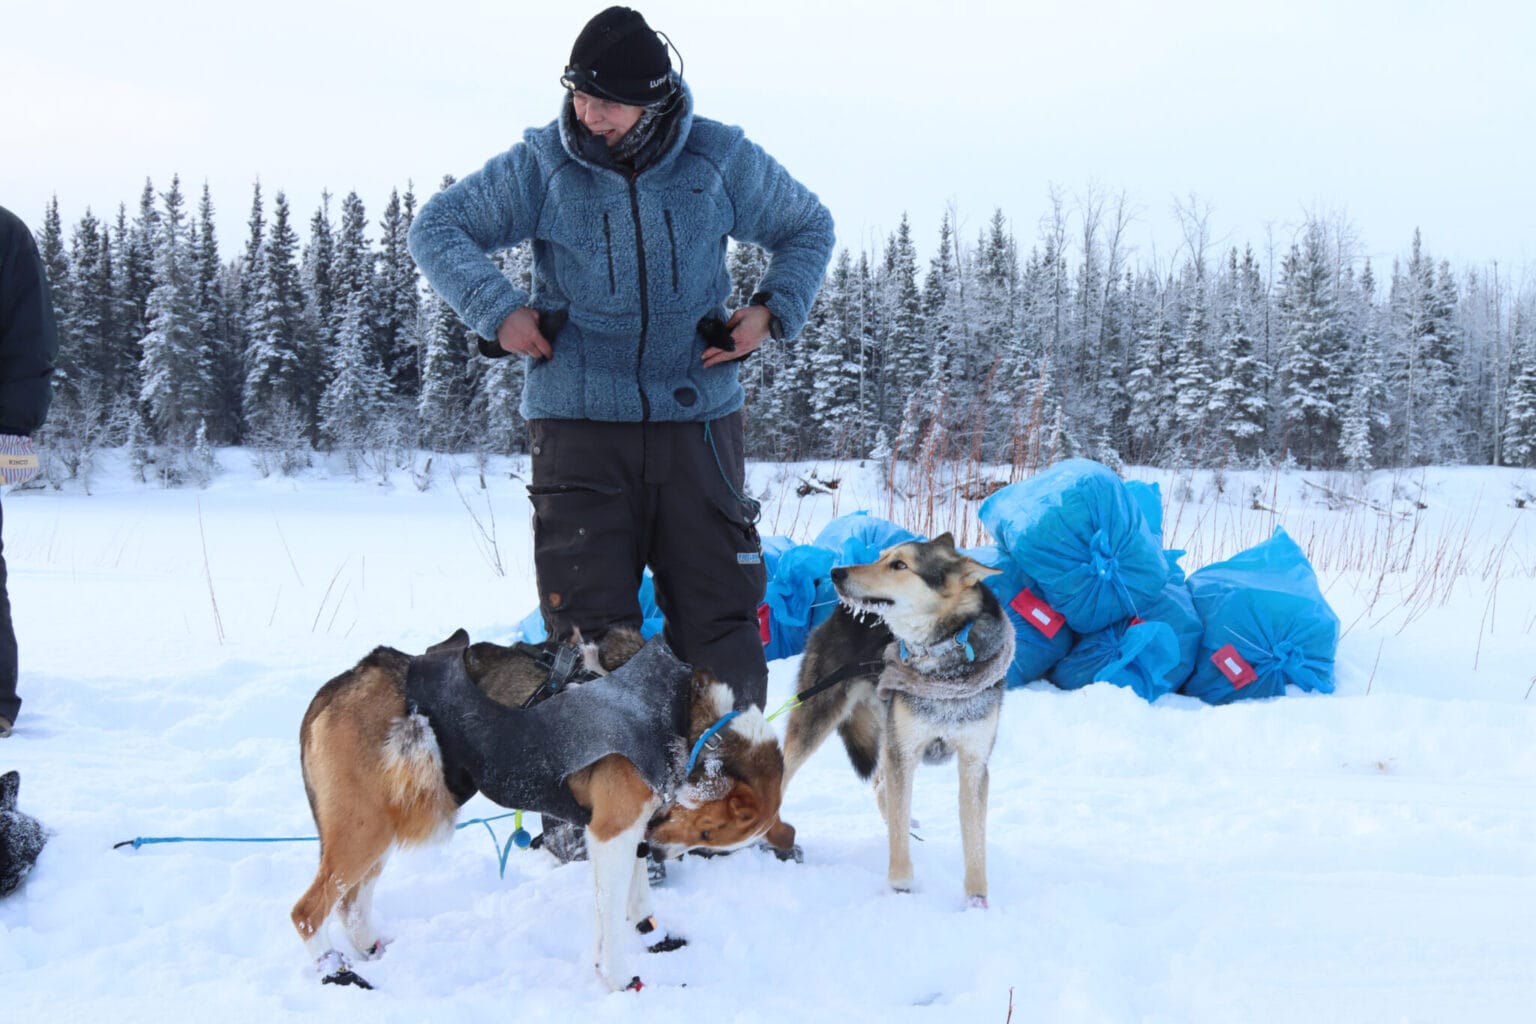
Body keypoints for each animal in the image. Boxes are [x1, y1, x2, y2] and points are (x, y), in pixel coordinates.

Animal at [294, 632, 786, 994]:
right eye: (707, 833)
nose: (662, 851)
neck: (681, 716)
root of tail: (343, 682)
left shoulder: (633, 830)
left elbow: (634, 898)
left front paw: (652, 935)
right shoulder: (612, 832)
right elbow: (610, 915)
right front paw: (618, 978)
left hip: (378, 829)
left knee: (350, 905)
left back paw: (370, 949)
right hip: (365, 831)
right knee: (307, 912)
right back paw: (336, 972)